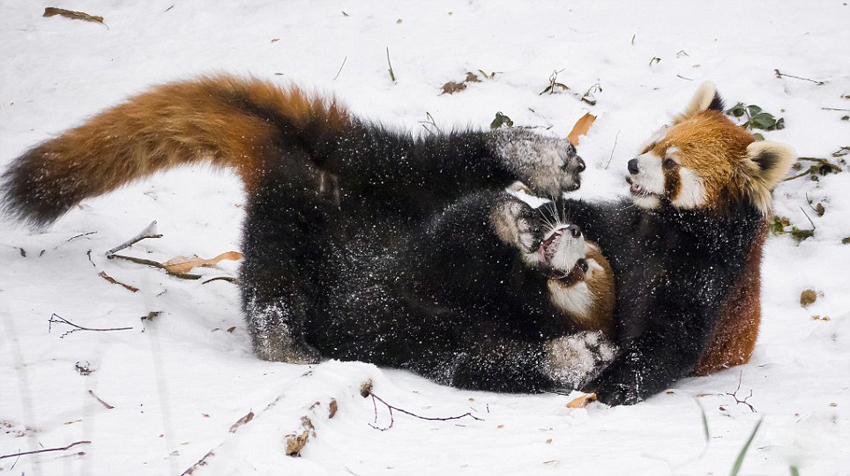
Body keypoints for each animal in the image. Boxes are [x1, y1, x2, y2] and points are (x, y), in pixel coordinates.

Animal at [556, 82, 796, 406]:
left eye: (670, 162)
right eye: (655, 145)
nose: (632, 165)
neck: (670, 231)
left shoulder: (707, 276)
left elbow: (671, 338)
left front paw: (615, 384)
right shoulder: (628, 231)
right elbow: (599, 224)